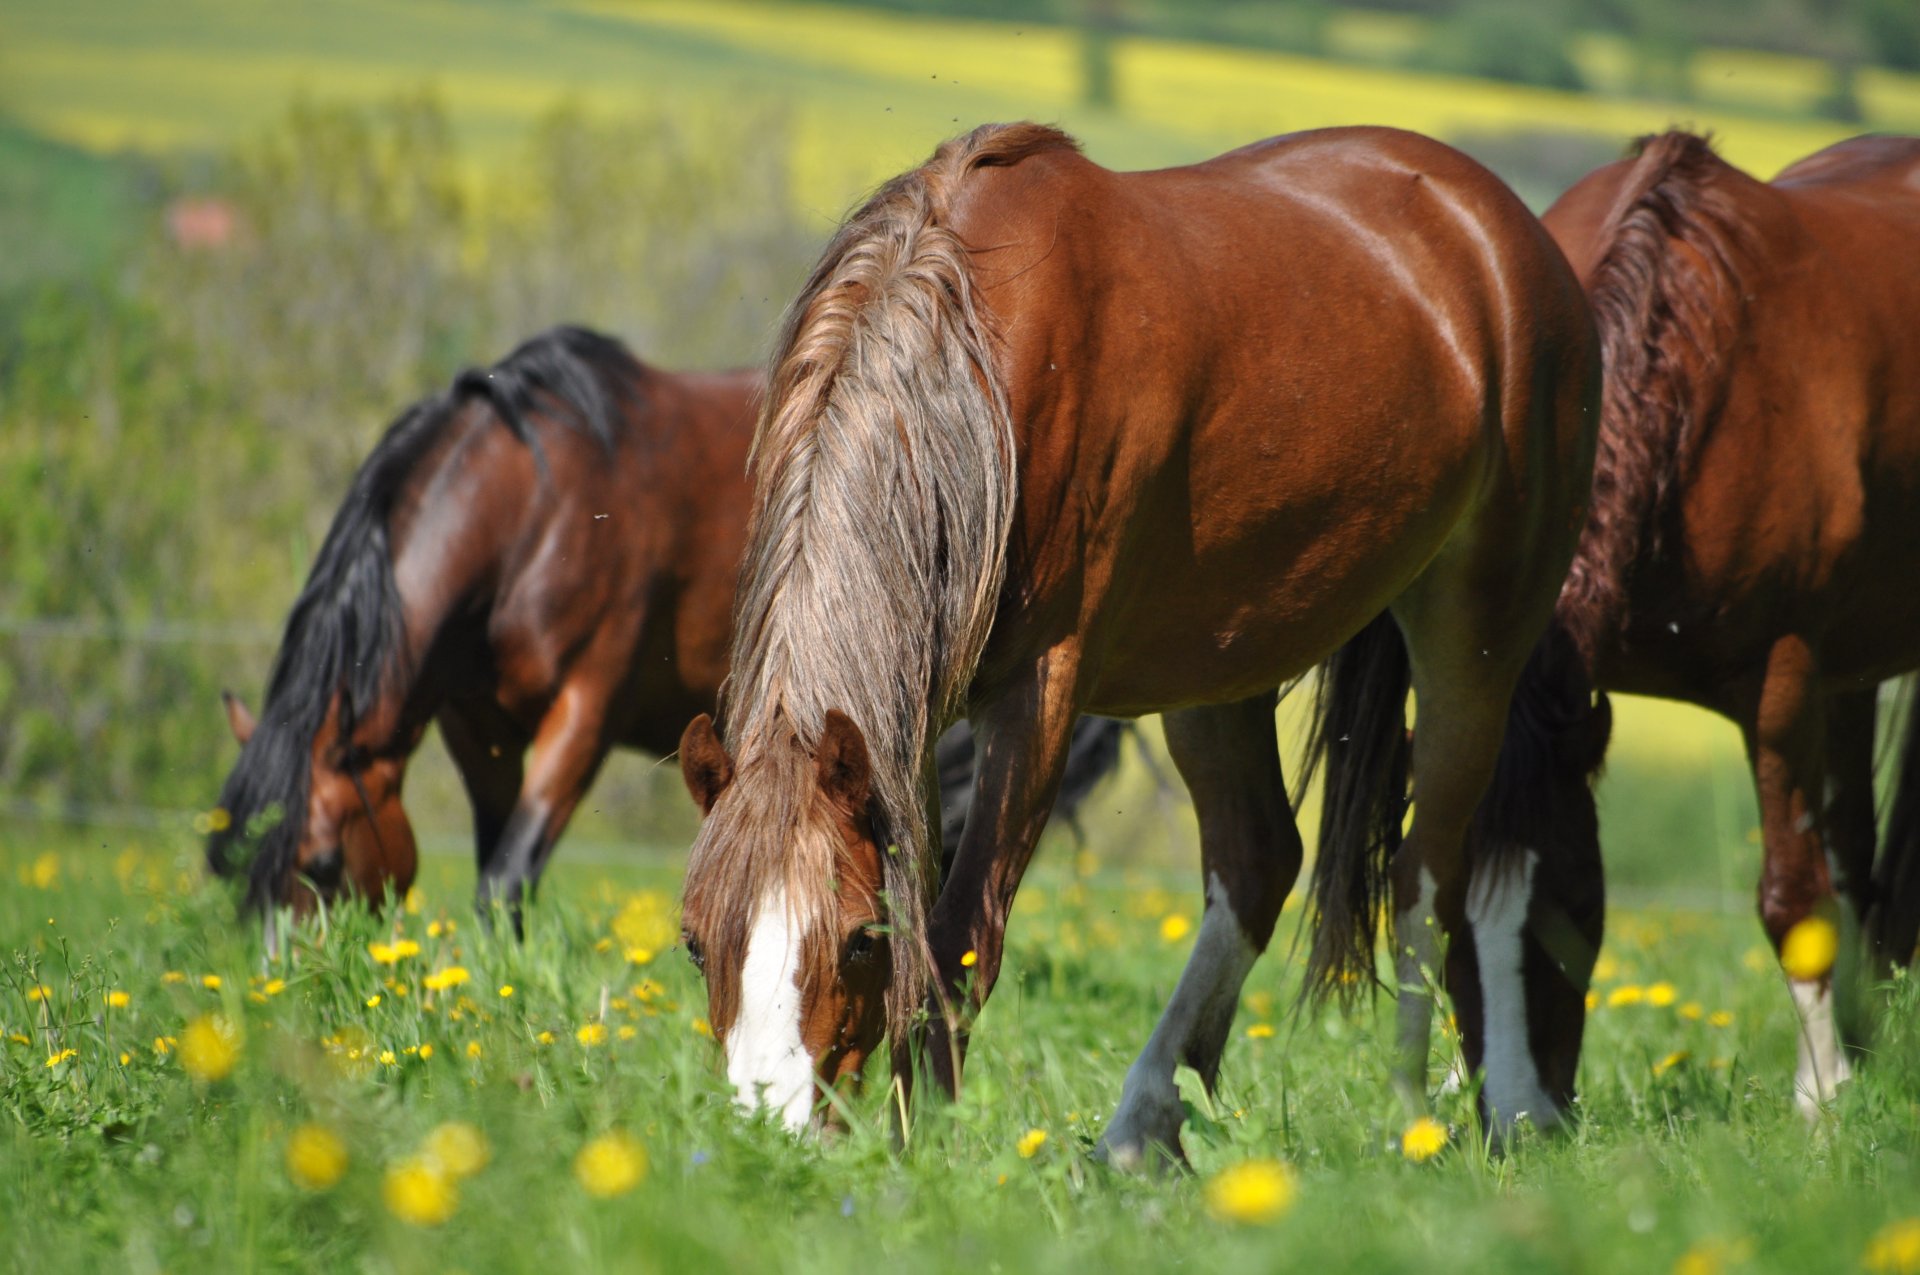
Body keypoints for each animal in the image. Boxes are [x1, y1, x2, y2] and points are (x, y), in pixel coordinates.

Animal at [206, 324, 1129, 932]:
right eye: (228, 869)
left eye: (321, 863)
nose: (294, 987)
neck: (533, 506)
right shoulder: (482, 734)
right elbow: (494, 871)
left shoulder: (586, 710)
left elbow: (512, 871)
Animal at [674, 121, 1600, 1154]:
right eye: (696, 941)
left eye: (856, 936)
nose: (767, 1137)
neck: (981, 350)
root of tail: (1505, 229)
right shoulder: (910, 714)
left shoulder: (1039, 693)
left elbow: (954, 943)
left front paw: (928, 1155)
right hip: (1219, 666)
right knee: (1259, 862)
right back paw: (1141, 1130)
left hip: (1475, 636)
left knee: (1427, 876)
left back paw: (1436, 1114)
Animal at [1491, 131, 1920, 1117]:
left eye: (1570, 909)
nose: (1515, 1119)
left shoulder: (1781, 684)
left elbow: (1790, 897)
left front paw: (1820, 1097)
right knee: (1854, 846)